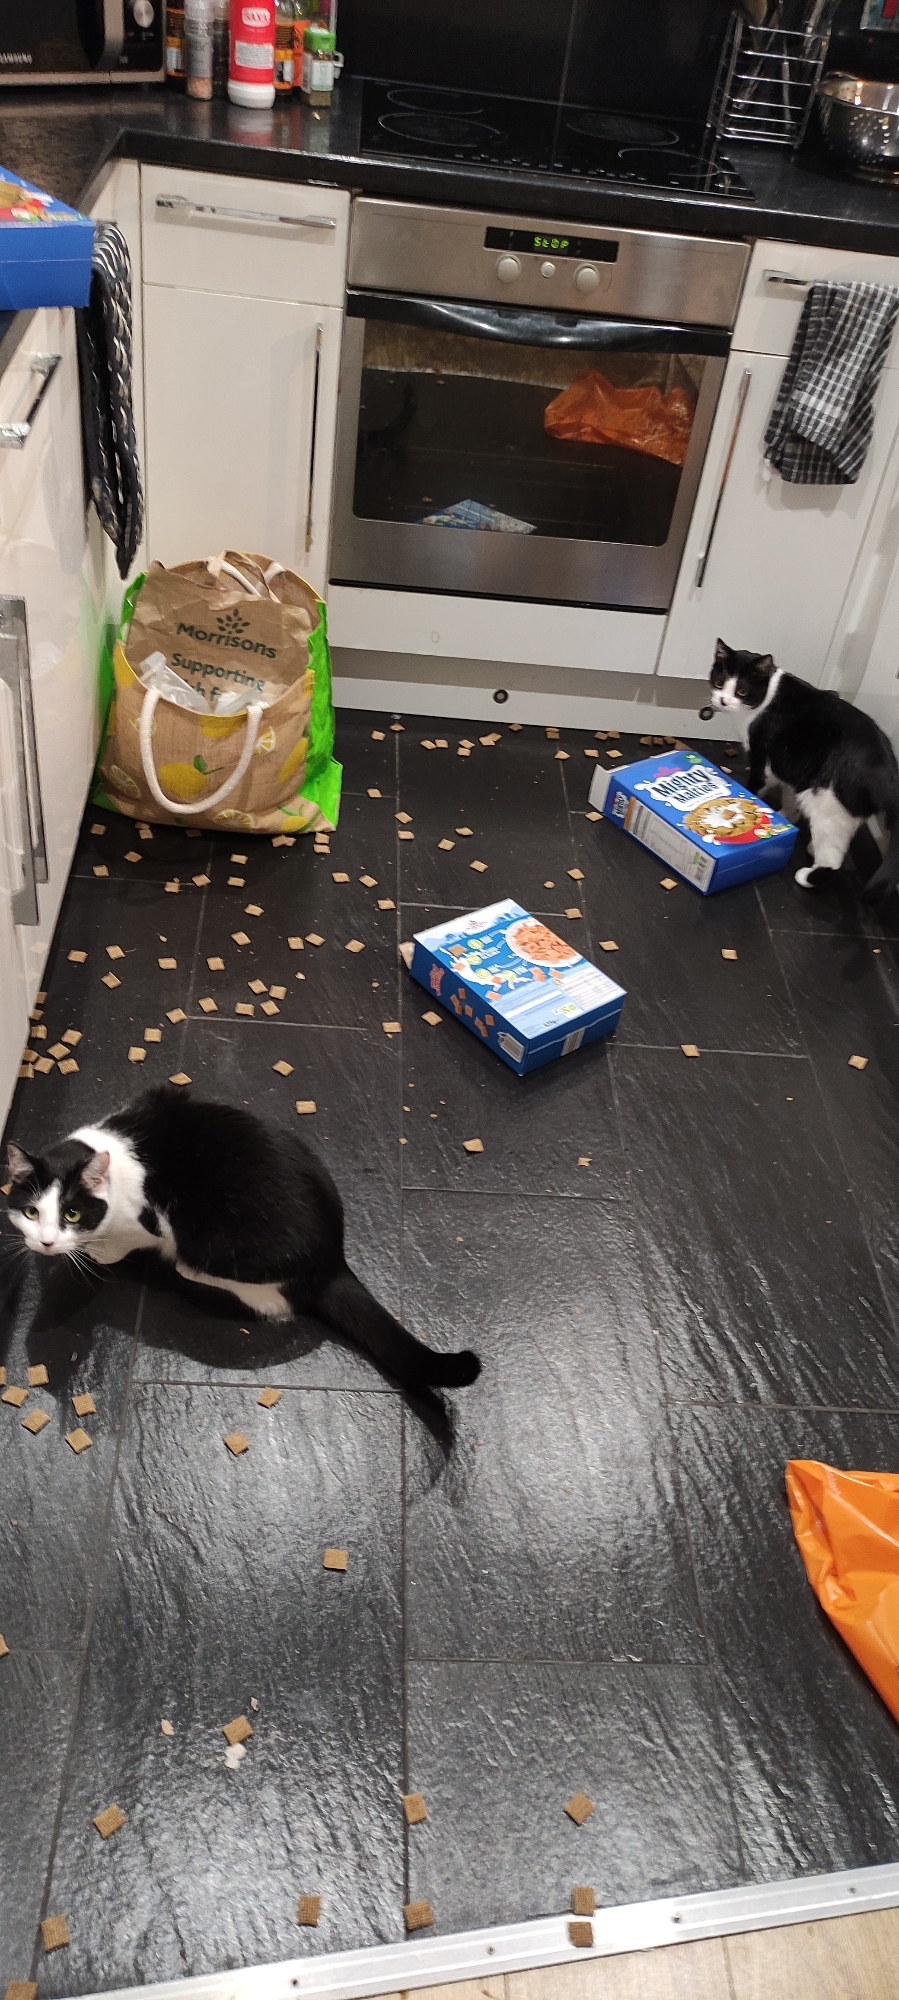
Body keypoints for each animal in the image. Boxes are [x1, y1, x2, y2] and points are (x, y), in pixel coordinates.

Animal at [5, 1086, 480, 1395]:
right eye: (31, 1212)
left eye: (72, 1213)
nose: (45, 1243)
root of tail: (332, 1259)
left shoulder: (147, 1222)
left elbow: (118, 1243)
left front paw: (97, 1252)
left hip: (217, 1247)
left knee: (262, 1298)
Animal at [707, 639, 899, 898]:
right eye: (719, 683)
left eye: (742, 691)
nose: (723, 701)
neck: (767, 697)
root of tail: (885, 769)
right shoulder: (791, 767)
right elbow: (790, 798)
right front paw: (783, 817)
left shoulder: (762, 760)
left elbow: (754, 789)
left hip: (828, 804)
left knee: (834, 858)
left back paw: (808, 876)